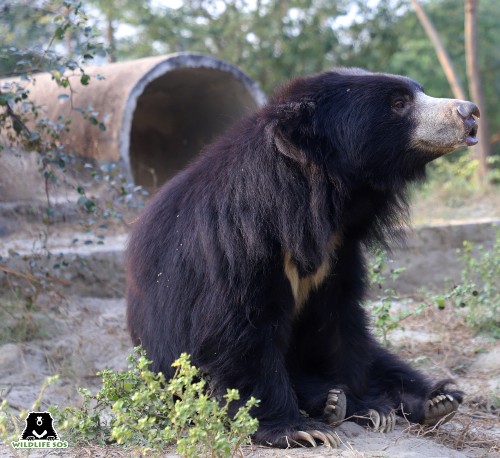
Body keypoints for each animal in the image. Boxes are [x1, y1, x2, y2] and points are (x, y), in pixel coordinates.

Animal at [124, 68, 476, 448]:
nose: (469, 113)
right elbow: (237, 331)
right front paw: (297, 429)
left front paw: (370, 407)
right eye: (398, 103)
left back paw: (435, 400)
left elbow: (339, 323)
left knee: (385, 361)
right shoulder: (236, 244)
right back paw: (330, 402)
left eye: (418, 92)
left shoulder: (338, 251)